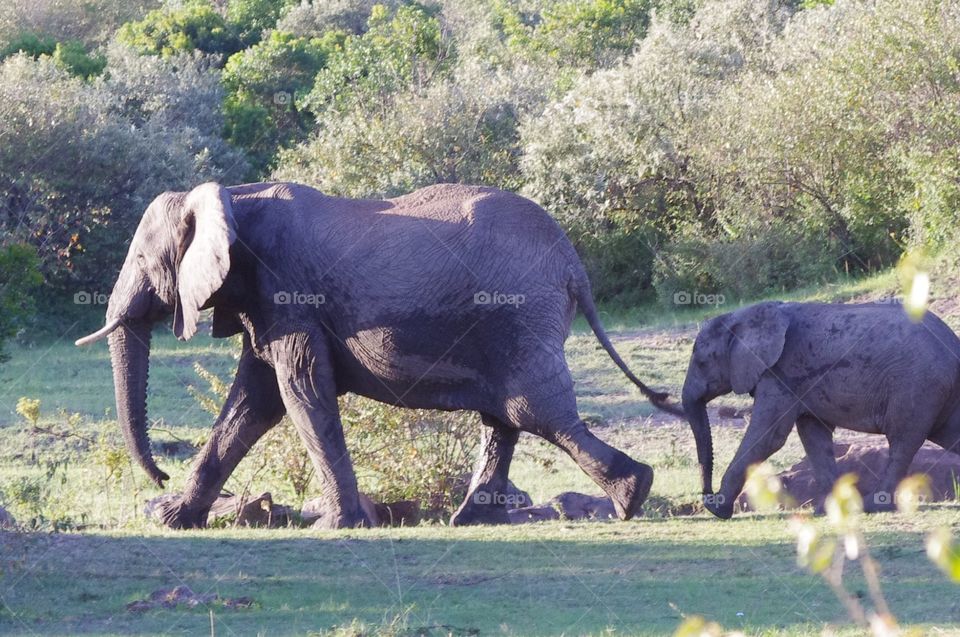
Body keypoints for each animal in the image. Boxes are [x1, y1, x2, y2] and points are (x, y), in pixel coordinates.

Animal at [76, 181, 682, 529]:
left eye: (141, 258)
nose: (158, 476)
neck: (230, 197)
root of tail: (574, 265)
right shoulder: (267, 300)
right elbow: (254, 401)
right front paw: (174, 521)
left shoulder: (287, 290)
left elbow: (299, 391)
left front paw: (338, 527)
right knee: (506, 416)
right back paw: (470, 522)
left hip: (518, 313)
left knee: (533, 410)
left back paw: (632, 496)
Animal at [681, 301, 960, 518]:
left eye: (702, 363)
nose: (707, 496)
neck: (742, 315)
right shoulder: (800, 383)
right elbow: (814, 438)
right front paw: (826, 511)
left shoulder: (781, 374)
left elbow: (769, 437)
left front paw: (718, 509)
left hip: (917, 386)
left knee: (902, 443)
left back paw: (874, 505)